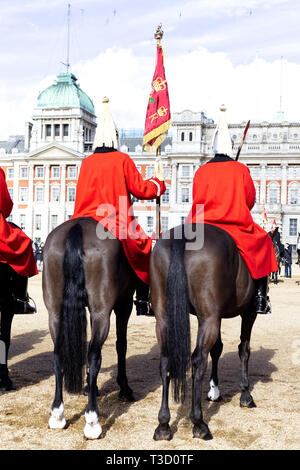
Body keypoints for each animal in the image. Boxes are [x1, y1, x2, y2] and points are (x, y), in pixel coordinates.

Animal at [42, 217, 136, 436]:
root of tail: (77, 226)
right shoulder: (124, 305)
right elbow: (121, 345)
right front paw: (124, 388)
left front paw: (88, 387)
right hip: (102, 312)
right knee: (94, 356)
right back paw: (92, 419)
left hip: (55, 313)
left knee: (58, 355)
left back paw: (57, 414)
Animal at [151, 224, 276, 440]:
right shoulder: (247, 314)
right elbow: (244, 350)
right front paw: (245, 394)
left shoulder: (217, 316)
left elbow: (217, 349)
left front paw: (214, 391)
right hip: (210, 319)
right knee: (198, 359)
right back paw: (199, 422)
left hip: (165, 319)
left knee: (166, 360)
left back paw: (164, 424)